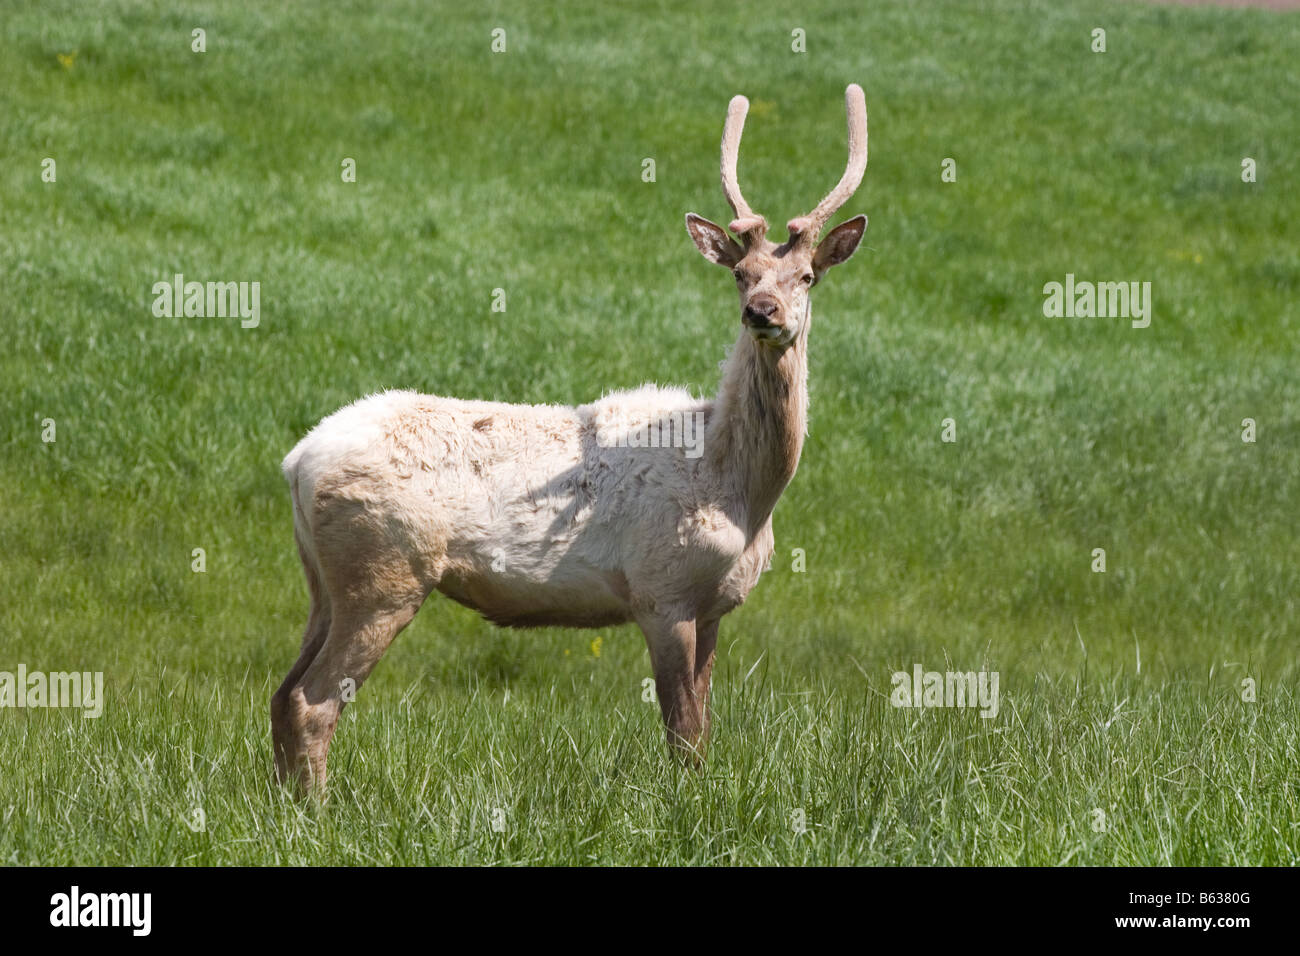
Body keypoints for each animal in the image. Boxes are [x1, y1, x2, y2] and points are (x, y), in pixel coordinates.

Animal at [269, 83, 868, 790]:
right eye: (739, 274)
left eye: (807, 277)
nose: (761, 312)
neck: (737, 491)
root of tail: (297, 461)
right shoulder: (660, 588)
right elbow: (684, 734)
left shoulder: (713, 605)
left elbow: (702, 733)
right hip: (384, 569)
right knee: (312, 701)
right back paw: (318, 808)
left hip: (325, 580)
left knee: (282, 693)